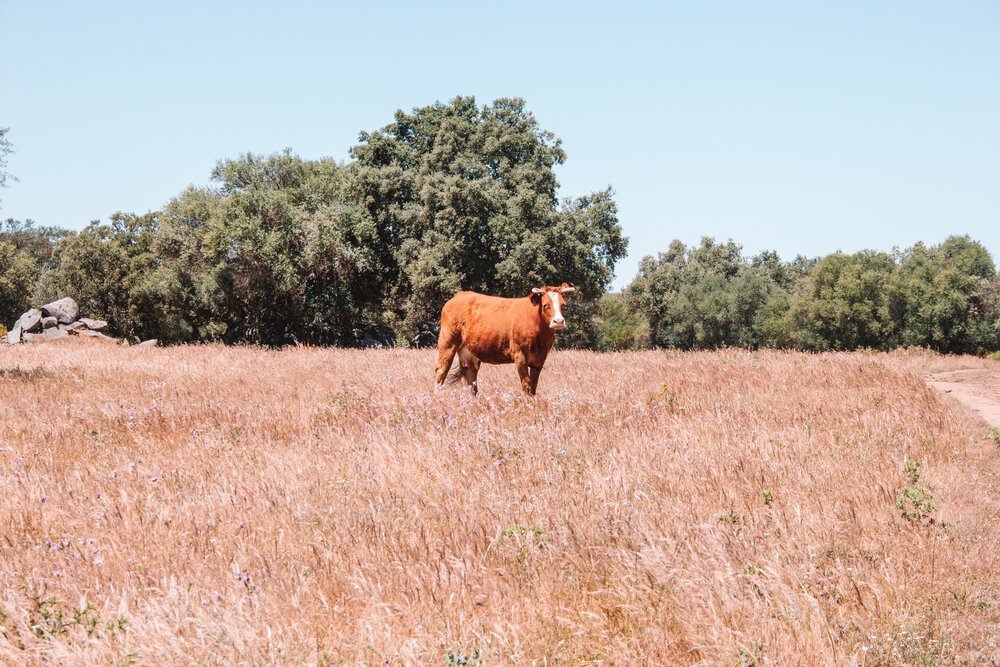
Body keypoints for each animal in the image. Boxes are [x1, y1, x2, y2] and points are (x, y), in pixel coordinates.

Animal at [432, 284, 580, 396]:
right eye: (545, 305)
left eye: (563, 305)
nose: (558, 321)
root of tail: (459, 295)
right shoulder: (520, 356)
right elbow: (526, 384)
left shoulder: (539, 359)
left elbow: (533, 386)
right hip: (447, 342)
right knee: (441, 370)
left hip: (469, 352)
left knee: (471, 375)